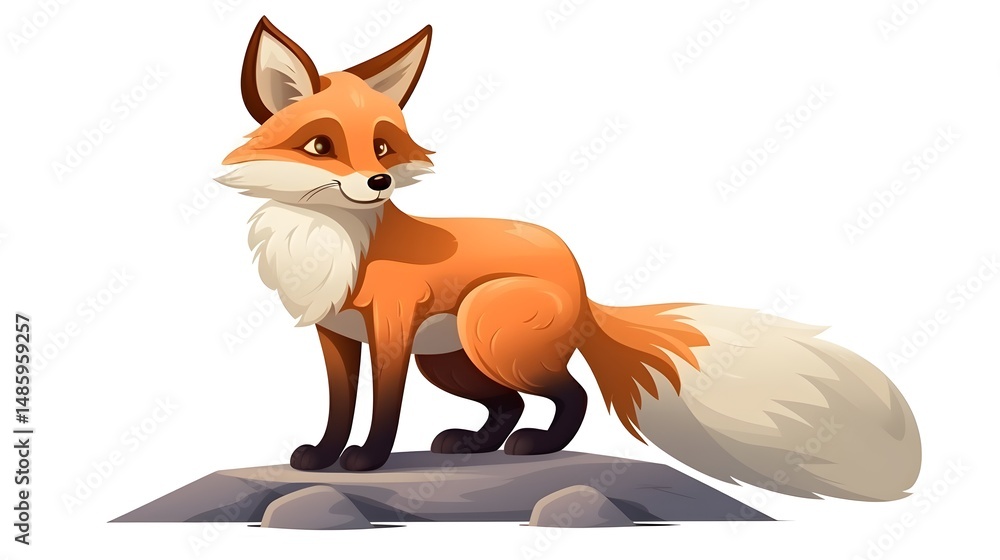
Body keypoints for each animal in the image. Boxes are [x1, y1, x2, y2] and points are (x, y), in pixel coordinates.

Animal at [216, 17, 921, 501]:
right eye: (321, 145)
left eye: (384, 147)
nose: (378, 183)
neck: (333, 238)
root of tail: (582, 282)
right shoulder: (337, 334)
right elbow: (338, 406)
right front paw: (324, 456)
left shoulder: (391, 328)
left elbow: (383, 407)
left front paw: (368, 461)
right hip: (451, 358)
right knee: (510, 403)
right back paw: (477, 445)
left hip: (484, 330)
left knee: (570, 394)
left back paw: (534, 449)